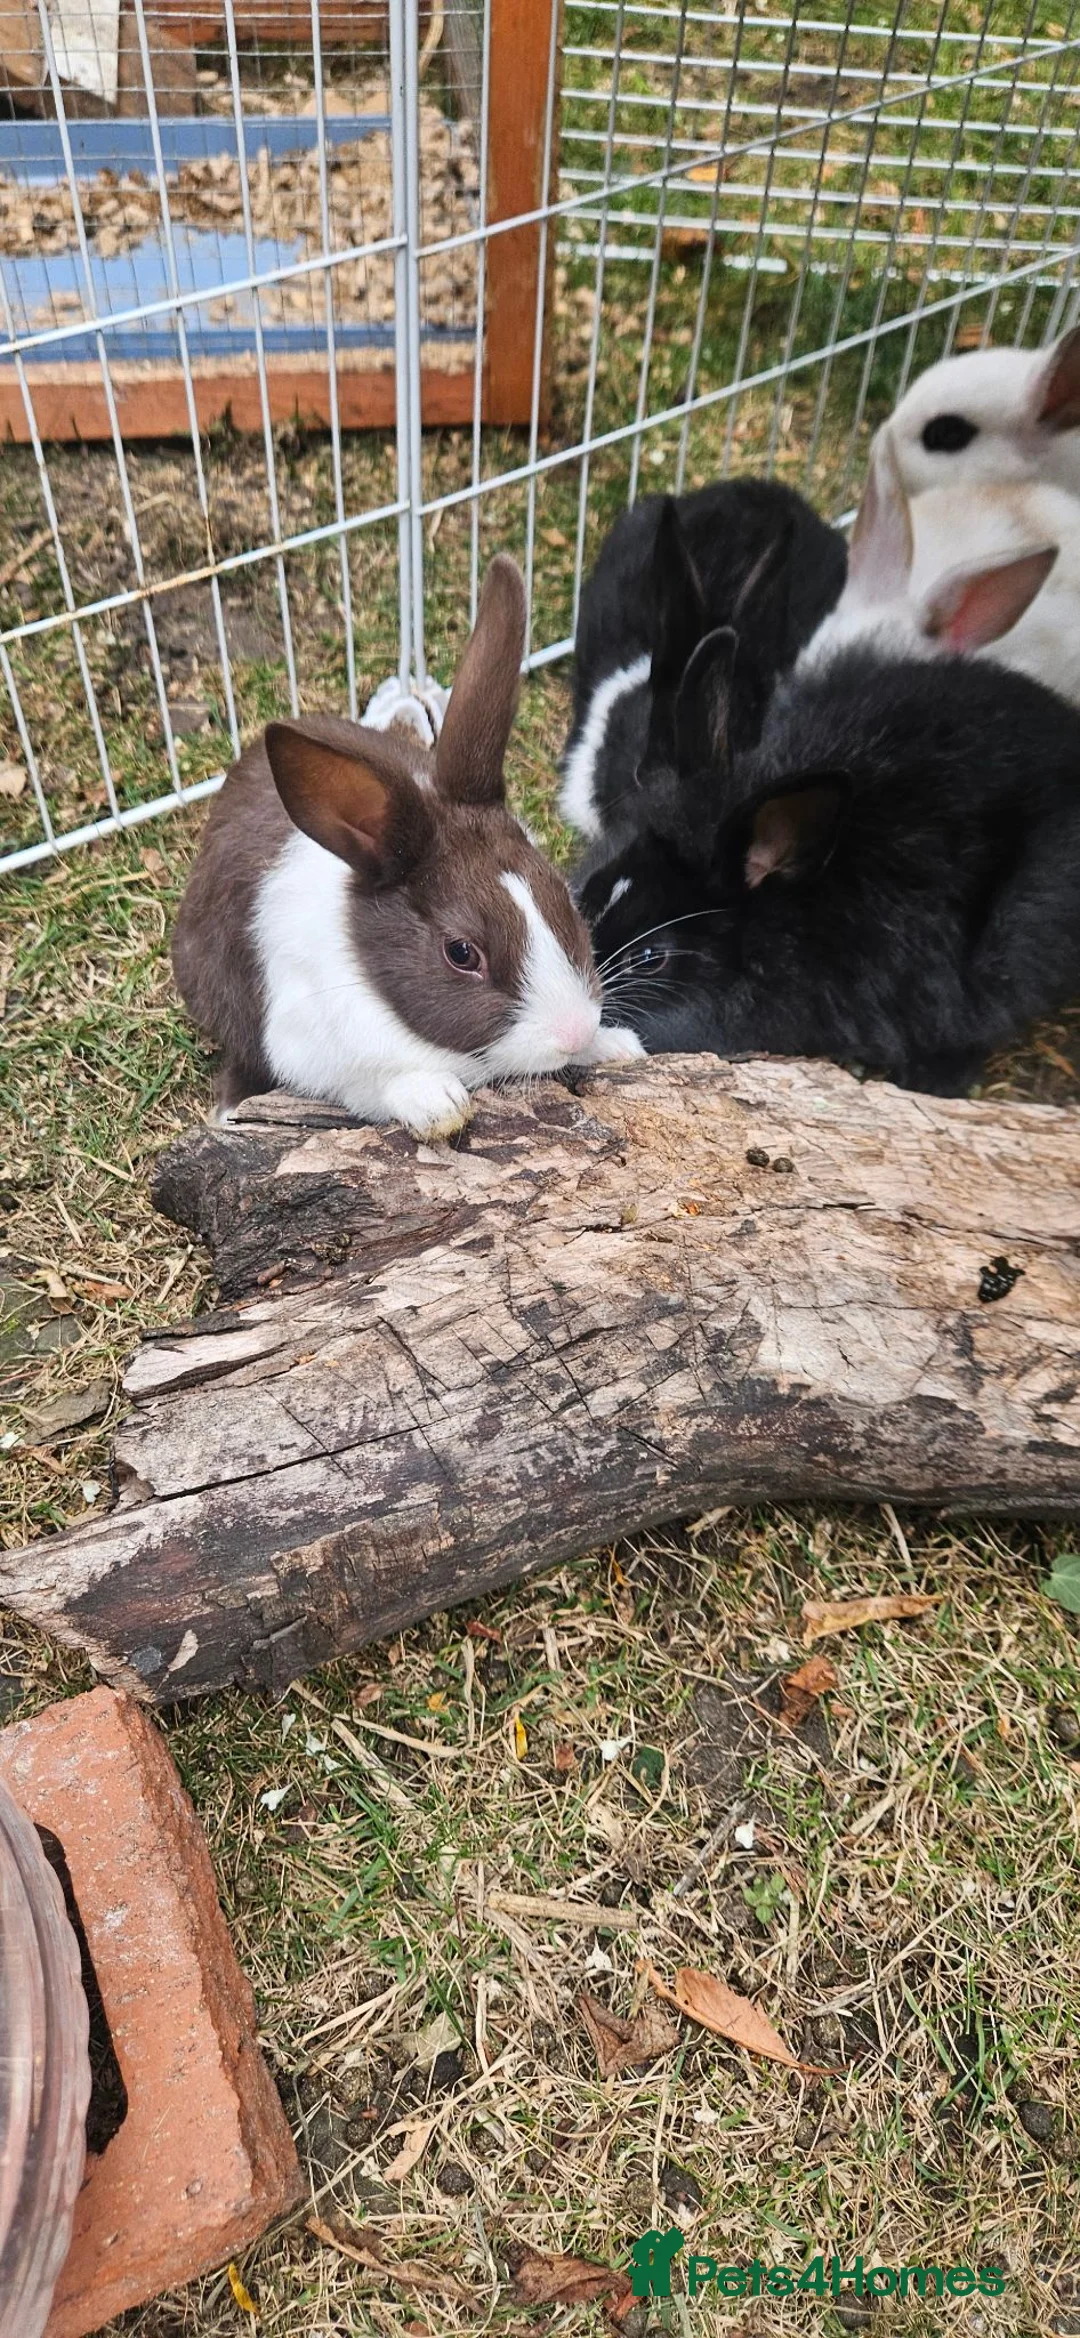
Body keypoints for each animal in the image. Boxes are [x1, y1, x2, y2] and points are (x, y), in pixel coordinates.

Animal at [173, 555, 643, 1142]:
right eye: (461, 953)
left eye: (563, 894)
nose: (575, 1031)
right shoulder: (308, 1041)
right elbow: (370, 1085)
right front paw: (439, 1103)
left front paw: (618, 1045)